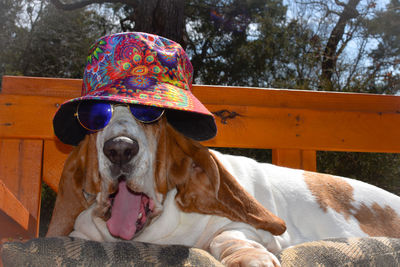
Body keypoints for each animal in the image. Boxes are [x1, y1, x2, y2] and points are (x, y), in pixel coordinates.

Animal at [47, 105, 400, 267]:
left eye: (152, 120)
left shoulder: (246, 229)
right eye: (97, 121)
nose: (120, 148)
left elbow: (227, 237)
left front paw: (251, 259)